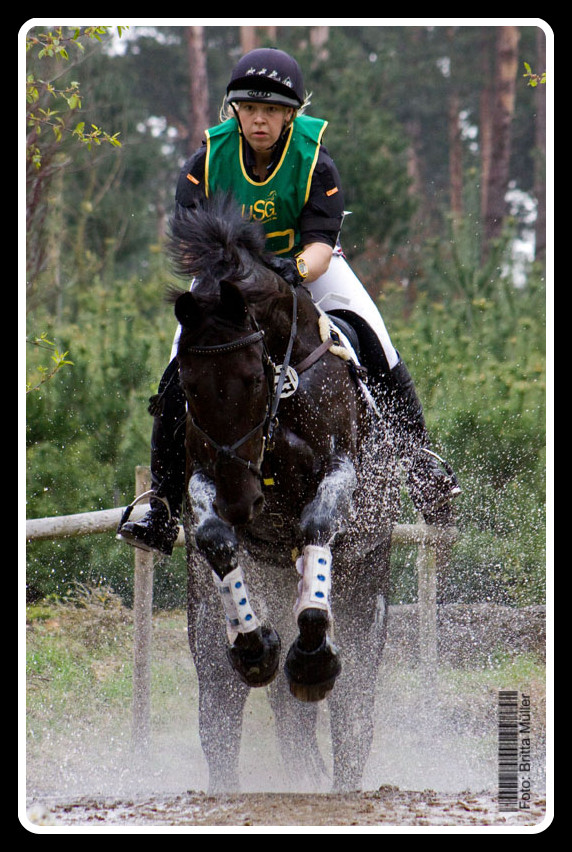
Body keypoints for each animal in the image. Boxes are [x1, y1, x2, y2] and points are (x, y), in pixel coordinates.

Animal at [168, 195, 400, 792]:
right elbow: (213, 537)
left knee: (353, 716)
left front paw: (311, 654)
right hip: (212, 618)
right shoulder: (205, 472)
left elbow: (318, 523)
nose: (241, 501)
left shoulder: (340, 467)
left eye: (252, 377)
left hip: (366, 588)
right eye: (190, 386)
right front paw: (257, 646)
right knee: (222, 717)